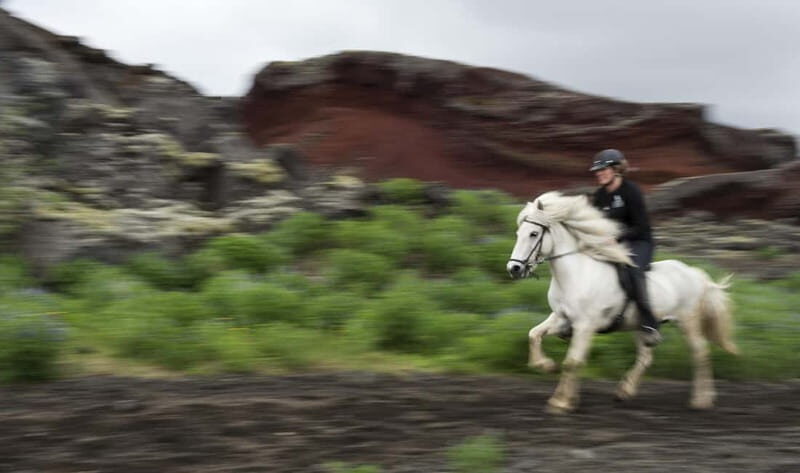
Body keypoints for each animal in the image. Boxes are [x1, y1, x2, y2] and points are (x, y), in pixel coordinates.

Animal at [506, 191, 737, 414]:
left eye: (533, 234)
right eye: (518, 233)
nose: (514, 269)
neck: (576, 274)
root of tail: (694, 273)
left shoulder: (585, 326)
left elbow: (573, 362)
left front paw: (561, 402)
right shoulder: (561, 319)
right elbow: (534, 335)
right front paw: (546, 367)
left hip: (687, 322)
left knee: (700, 353)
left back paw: (701, 400)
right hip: (642, 327)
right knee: (646, 357)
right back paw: (624, 391)